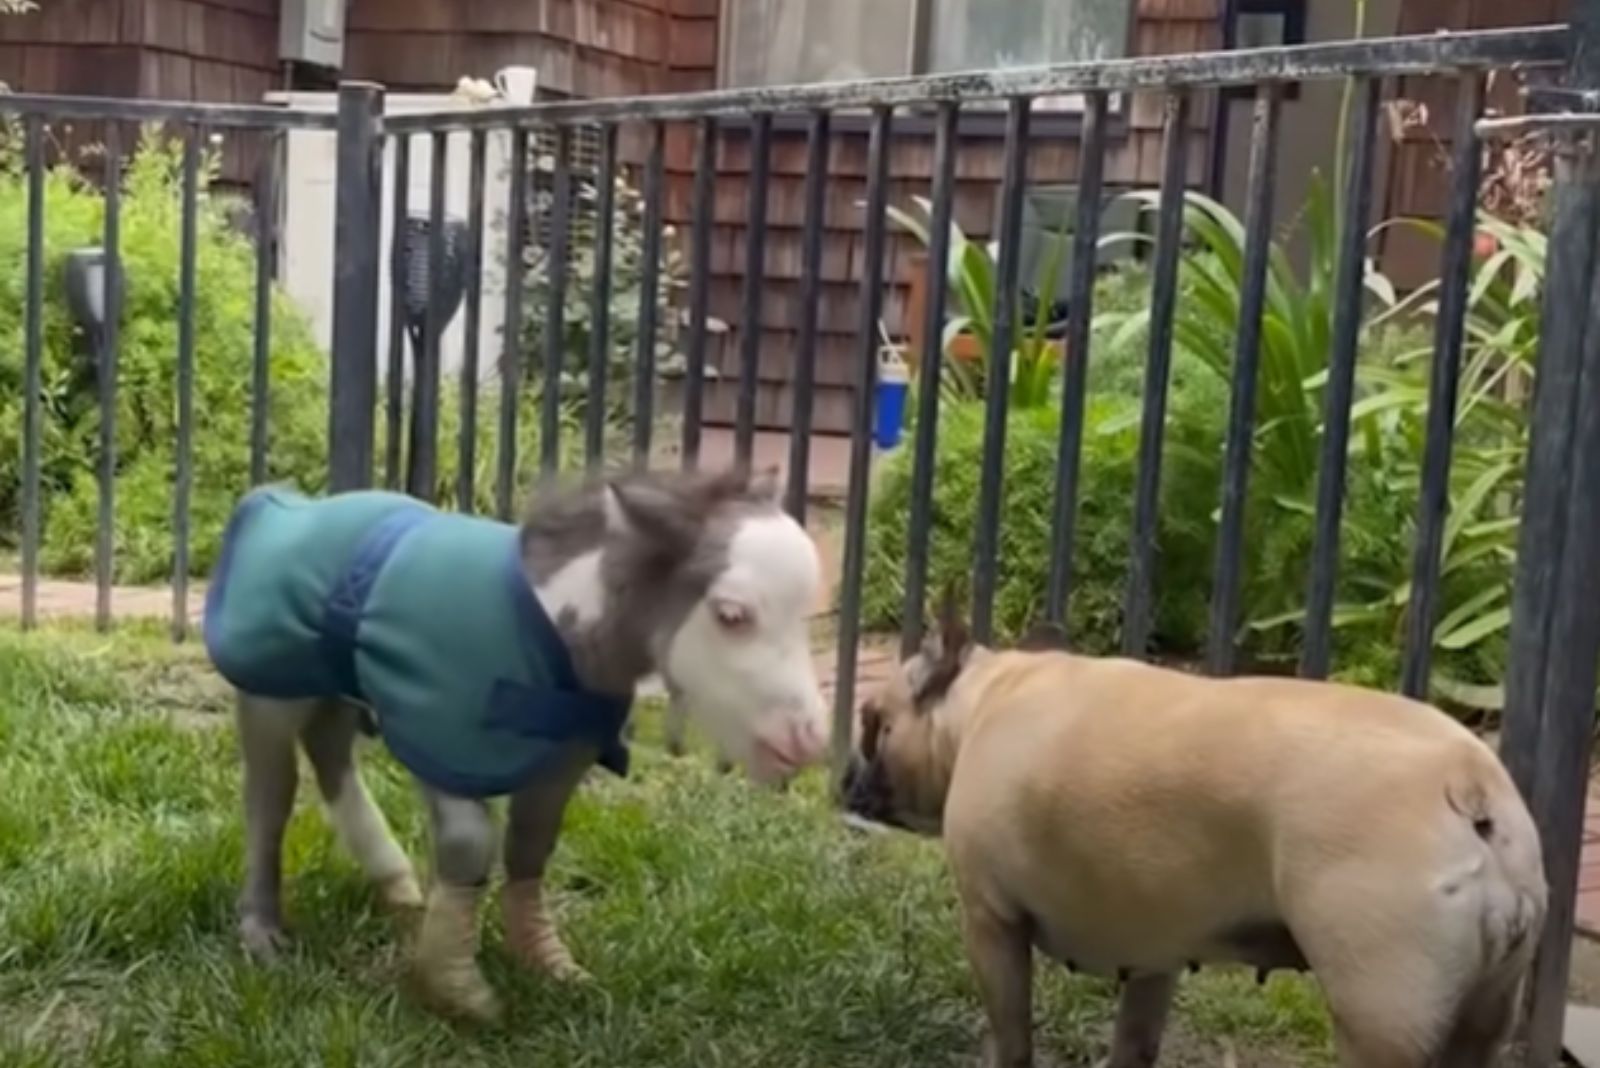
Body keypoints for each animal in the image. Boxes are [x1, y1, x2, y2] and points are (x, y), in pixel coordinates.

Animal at [844, 601, 1542, 1068]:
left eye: (872, 722)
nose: (848, 776)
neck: (987, 696)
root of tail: (1471, 786)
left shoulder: (992, 923)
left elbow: (1013, 1037)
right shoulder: (1155, 955)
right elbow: (1134, 1042)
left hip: (1381, 1014)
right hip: (1481, 1016)